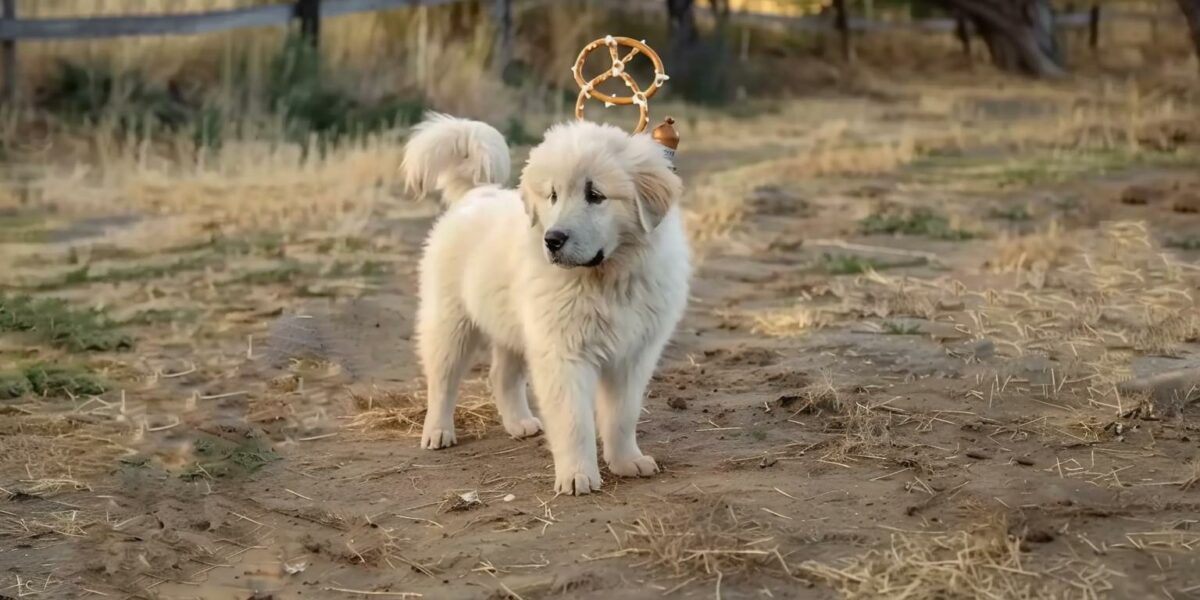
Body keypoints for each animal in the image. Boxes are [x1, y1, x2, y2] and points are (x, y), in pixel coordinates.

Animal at [400, 113, 691, 496]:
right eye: (553, 195)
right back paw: (437, 432)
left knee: (501, 376)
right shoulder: (562, 353)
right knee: (442, 379)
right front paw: (577, 476)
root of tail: (475, 192)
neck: (604, 279)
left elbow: (622, 414)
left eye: (595, 195)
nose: (552, 240)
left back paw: (519, 423)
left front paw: (627, 462)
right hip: (451, 322)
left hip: (515, 326)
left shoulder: (633, 354)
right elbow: (573, 420)